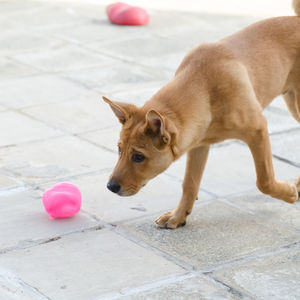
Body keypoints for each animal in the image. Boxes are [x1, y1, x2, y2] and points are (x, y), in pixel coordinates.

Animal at [103, 0, 300, 229]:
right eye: (119, 149)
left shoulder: (257, 129)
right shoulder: (198, 144)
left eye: (138, 156)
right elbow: (190, 183)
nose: (110, 187)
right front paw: (178, 216)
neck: (203, 87)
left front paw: (288, 193)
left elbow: (264, 180)